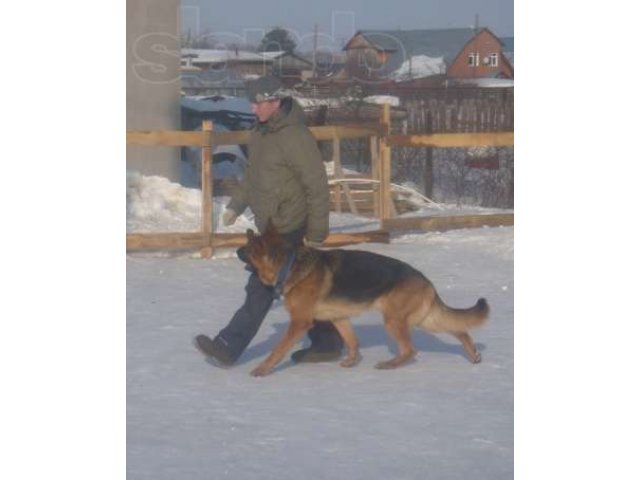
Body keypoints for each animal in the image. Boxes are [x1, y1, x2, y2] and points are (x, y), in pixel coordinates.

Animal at [245, 223, 490, 376]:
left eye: (247, 251)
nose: (238, 251)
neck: (289, 265)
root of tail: (426, 280)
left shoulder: (299, 322)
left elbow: (278, 349)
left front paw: (262, 369)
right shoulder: (340, 318)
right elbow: (352, 342)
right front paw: (352, 361)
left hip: (394, 321)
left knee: (410, 350)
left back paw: (390, 364)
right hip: (424, 319)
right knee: (459, 328)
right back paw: (473, 353)